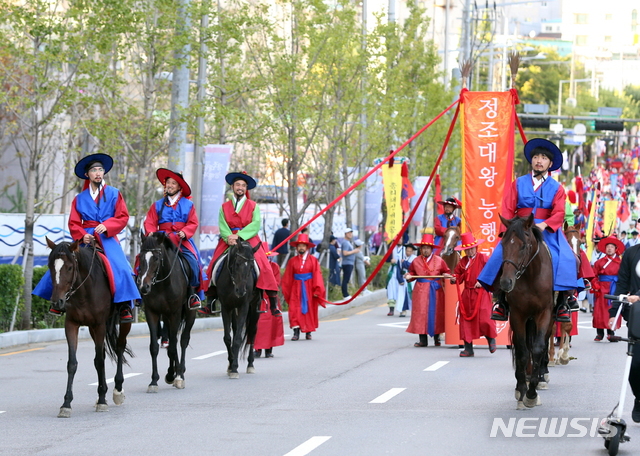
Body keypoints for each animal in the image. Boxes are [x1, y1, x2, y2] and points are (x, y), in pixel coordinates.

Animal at [45, 237, 132, 418]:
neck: (83, 291)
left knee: (120, 347)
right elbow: (72, 363)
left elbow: (99, 361)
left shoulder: (99, 324)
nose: (57, 302)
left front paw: (103, 400)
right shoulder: (72, 324)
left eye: (69, 267)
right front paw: (66, 404)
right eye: (50, 266)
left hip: (122, 321)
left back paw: (117, 390)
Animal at [139, 232, 198, 392]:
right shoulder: (152, 313)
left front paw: (178, 376)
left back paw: (180, 372)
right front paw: (154, 381)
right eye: (140, 257)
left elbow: (174, 346)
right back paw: (173, 371)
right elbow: (154, 347)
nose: (144, 287)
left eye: (156, 258)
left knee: (183, 340)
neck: (161, 284)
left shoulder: (175, 313)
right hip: (165, 317)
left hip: (189, 313)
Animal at [216, 239, 262, 378]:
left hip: (255, 307)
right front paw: (231, 364)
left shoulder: (244, 306)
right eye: (237, 263)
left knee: (252, 332)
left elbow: (237, 339)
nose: (241, 291)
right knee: (236, 329)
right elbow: (228, 338)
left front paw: (235, 368)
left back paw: (250, 364)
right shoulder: (225, 307)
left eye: (251, 266)